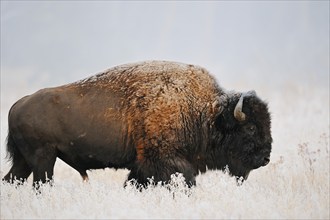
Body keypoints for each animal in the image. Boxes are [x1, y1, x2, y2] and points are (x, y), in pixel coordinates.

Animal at [2, 60, 272, 187]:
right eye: (250, 128)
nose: (266, 158)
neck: (203, 111)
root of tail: (16, 105)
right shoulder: (166, 161)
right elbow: (185, 181)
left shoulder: (142, 167)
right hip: (43, 159)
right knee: (40, 184)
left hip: (25, 161)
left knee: (11, 179)